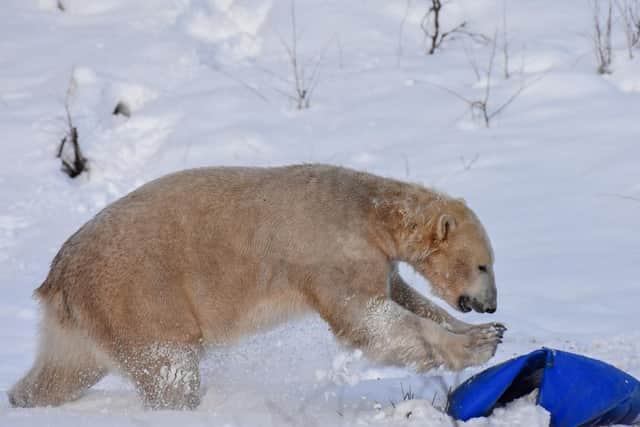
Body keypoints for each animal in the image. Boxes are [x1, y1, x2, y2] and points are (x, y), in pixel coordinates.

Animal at [9, 164, 504, 409]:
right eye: (483, 265)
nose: (490, 306)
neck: (369, 209)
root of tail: (59, 276)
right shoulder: (332, 249)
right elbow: (369, 318)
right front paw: (476, 344)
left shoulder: (374, 256)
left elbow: (403, 296)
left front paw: (482, 333)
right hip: (140, 297)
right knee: (170, 370)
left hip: (89, 318)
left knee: (64, 370)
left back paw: (23, 399)